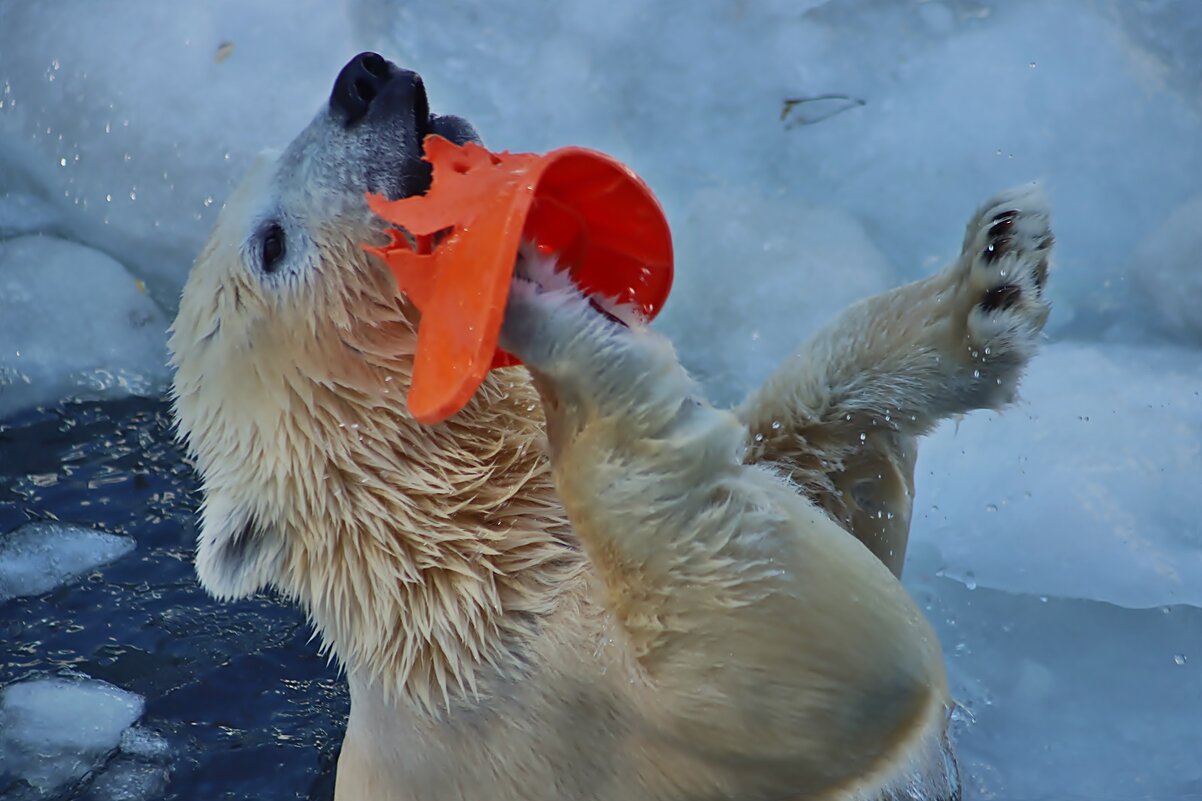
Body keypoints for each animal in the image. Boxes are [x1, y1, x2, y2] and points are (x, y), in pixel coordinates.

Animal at [169, 52, 1052, 793]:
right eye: (270, 242)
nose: (362, 76)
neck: (461, 555)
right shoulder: (559, 710)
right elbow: (818, 662)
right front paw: (534, 292)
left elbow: (814, 469)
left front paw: (993, 275)